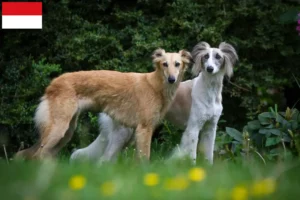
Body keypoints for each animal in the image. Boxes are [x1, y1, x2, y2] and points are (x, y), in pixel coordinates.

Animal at [15, 48, 191, 161]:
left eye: (177, 64)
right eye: (164, 64)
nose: (171, 79)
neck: (155, 85)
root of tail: (52, 84)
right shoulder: (144, 128)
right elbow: (144, 159)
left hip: (67, 132)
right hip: (58, 129)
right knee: (37, 155)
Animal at [71, 41, 239, 164]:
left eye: (218, 56)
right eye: (205, 57)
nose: (209, 69)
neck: (209, 91)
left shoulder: (210, 128)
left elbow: (209, 155)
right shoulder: (193, 128)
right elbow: (192, 155)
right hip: (123, 133)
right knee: (103, 160)